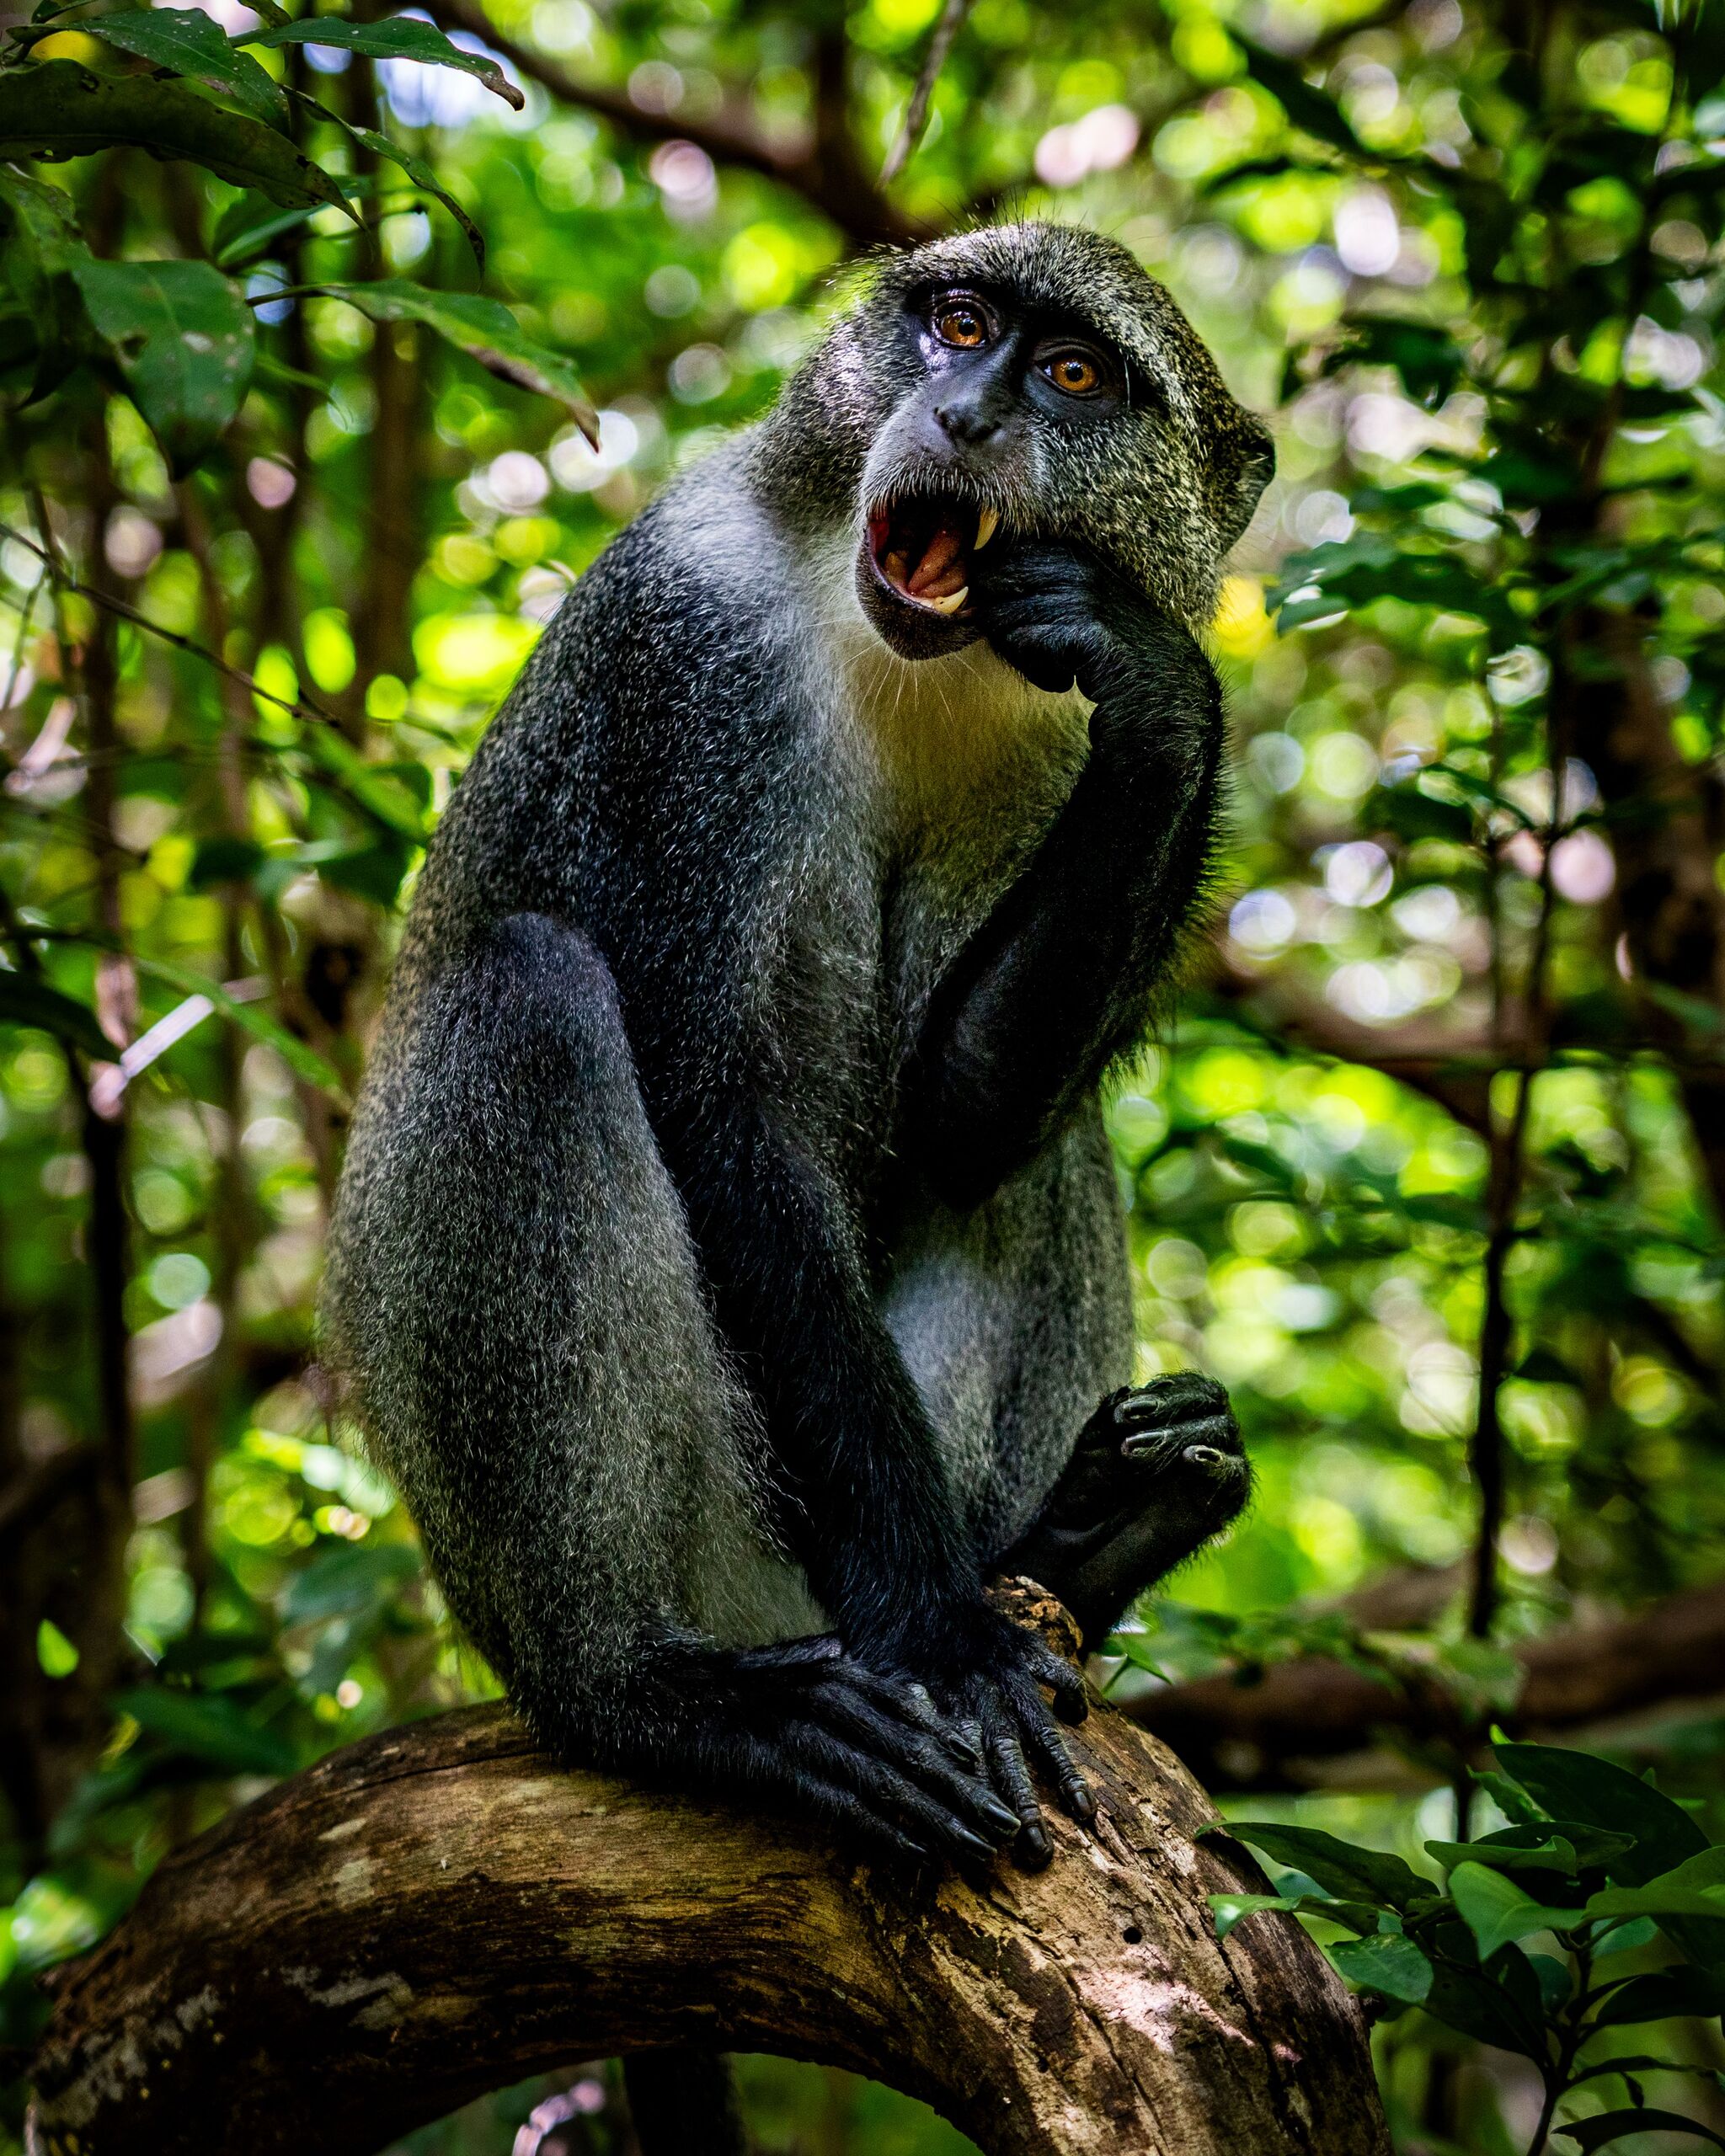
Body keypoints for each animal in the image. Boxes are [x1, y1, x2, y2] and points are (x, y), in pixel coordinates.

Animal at [322, 222, 1271, 1892]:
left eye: (1073, 373)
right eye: (954, 322)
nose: (964, 415)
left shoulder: (1059, 754)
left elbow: (961, 1121)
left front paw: (1158, 683)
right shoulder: (681, 661)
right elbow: (724, 1115)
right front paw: (946, 1643)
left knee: (1044, 1148)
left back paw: (1079, 1539)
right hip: (696, 1538)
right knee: (528, 997)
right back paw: (664, 1693)